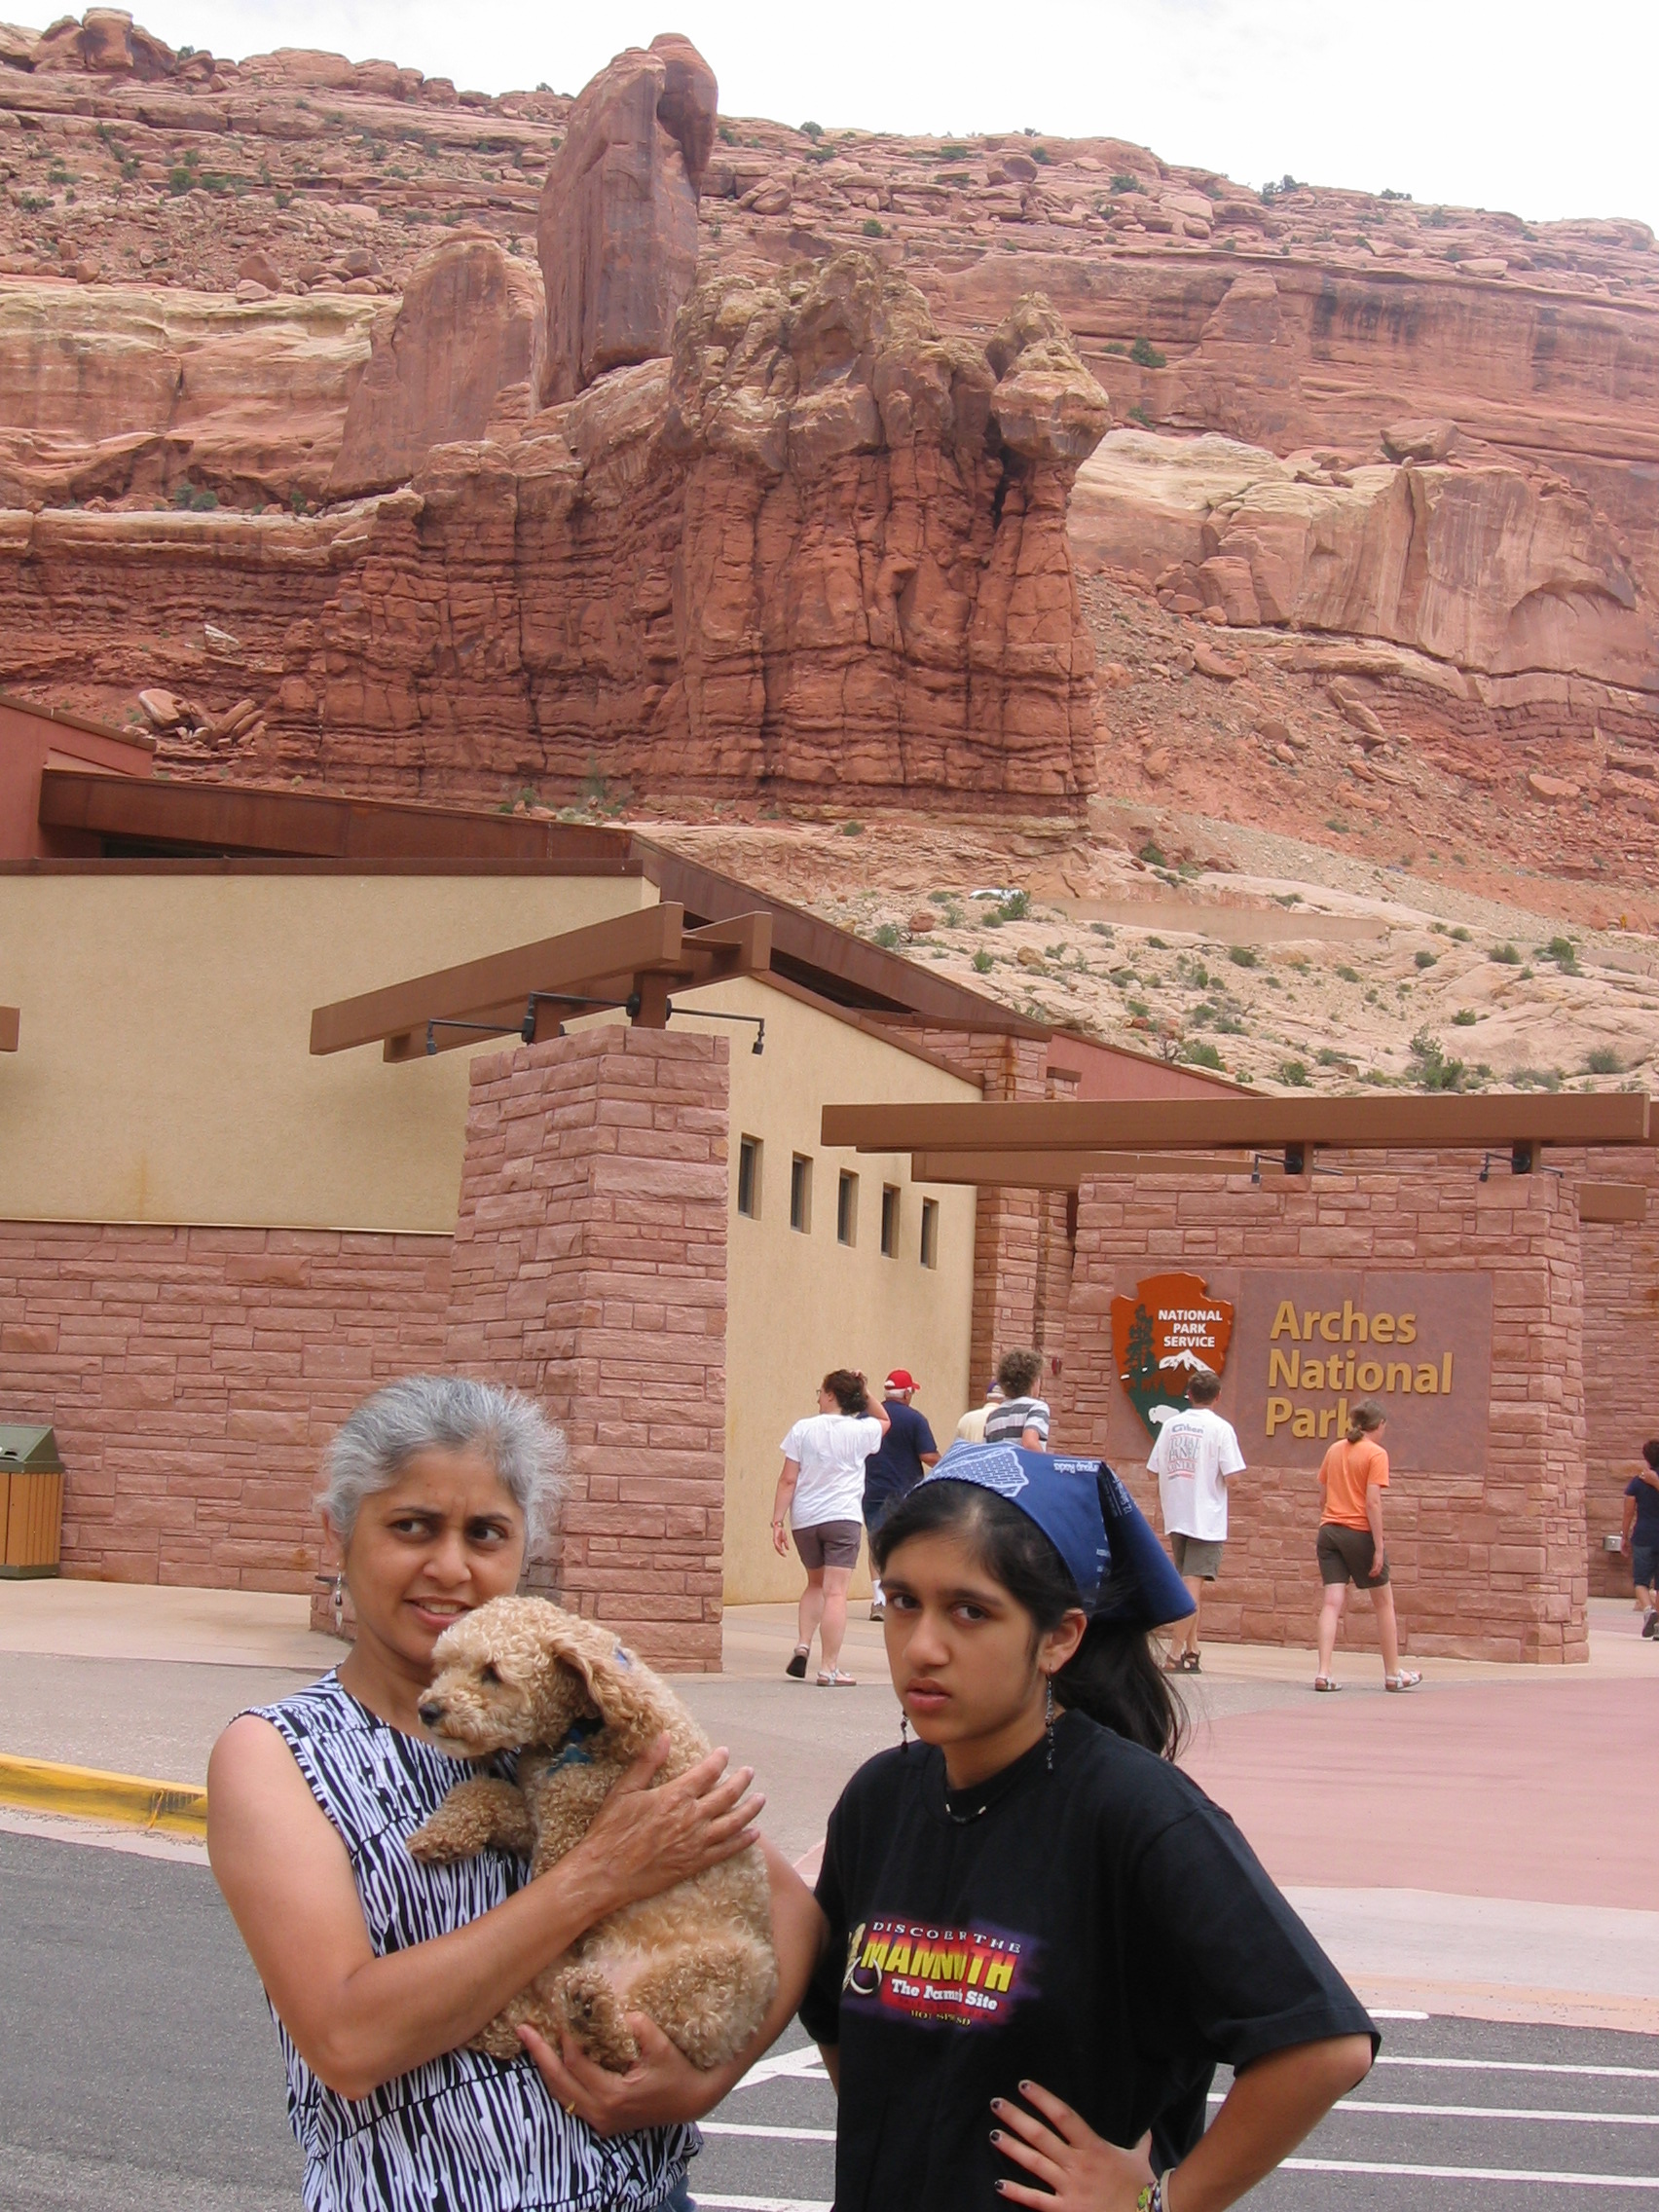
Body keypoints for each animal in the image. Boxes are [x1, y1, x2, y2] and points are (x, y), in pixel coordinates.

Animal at [408, 1595, 777, 2073]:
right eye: (445, 1664)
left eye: (492, 1673)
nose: (428, 1709)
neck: (581, 1727)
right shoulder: (536, 1810)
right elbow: (483, 1792)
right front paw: (441, 1833)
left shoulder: (566, 1835)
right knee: (551, 2025)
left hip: (719, 1975)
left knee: (626, 2050)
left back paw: (596, 2019)